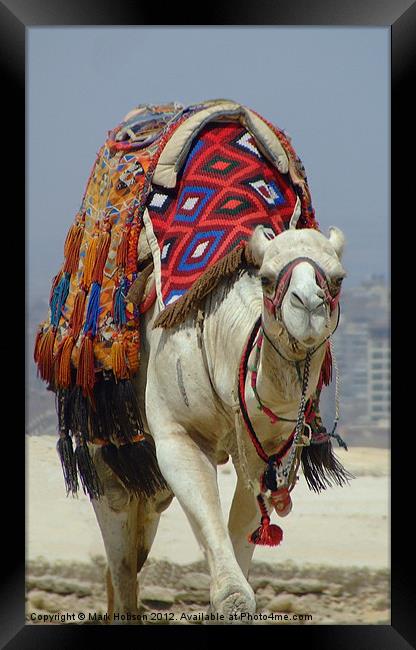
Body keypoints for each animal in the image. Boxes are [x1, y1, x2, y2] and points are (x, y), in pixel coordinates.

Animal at [88, 223, 348, 624]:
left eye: (337, 279)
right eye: (266, 278)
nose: (309, 304)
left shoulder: (269, 450)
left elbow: (246, 530)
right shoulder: (179, 434)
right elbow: (232, 592)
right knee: (118, 523)